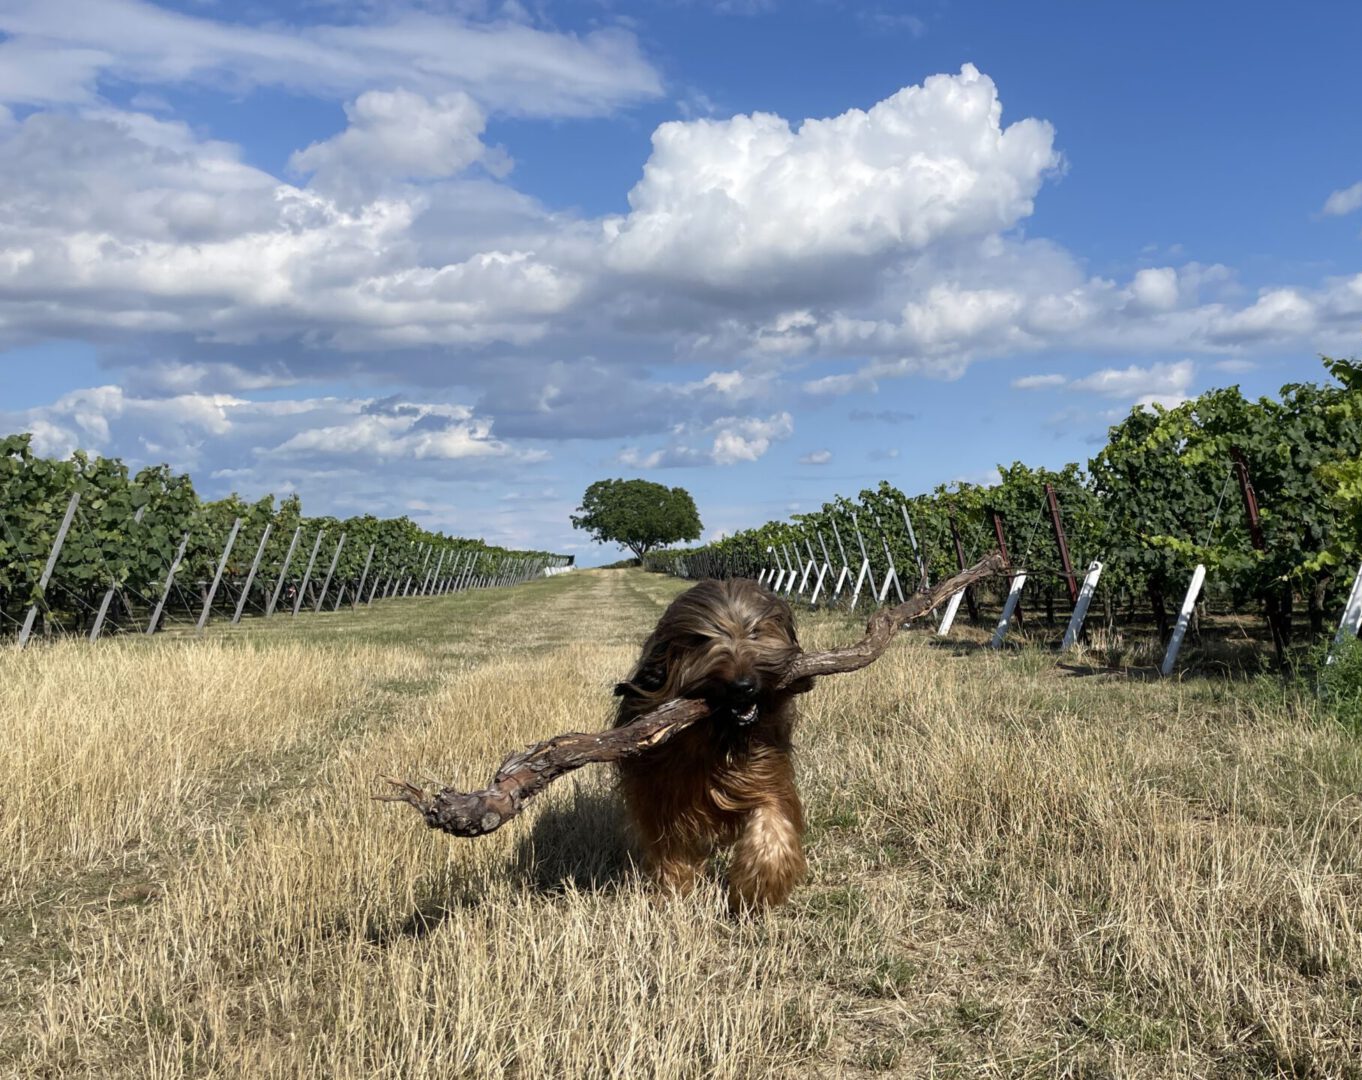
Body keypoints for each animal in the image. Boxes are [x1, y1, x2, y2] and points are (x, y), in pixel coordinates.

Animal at [615, 577, 811, 904]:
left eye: (755, 631)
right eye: (701, 641)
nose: (743, 686)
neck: (719, 735)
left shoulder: (764, 773)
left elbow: (772, 820)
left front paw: (756, 888)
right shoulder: (659, 795)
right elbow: (669, 846)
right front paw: (677, 890)